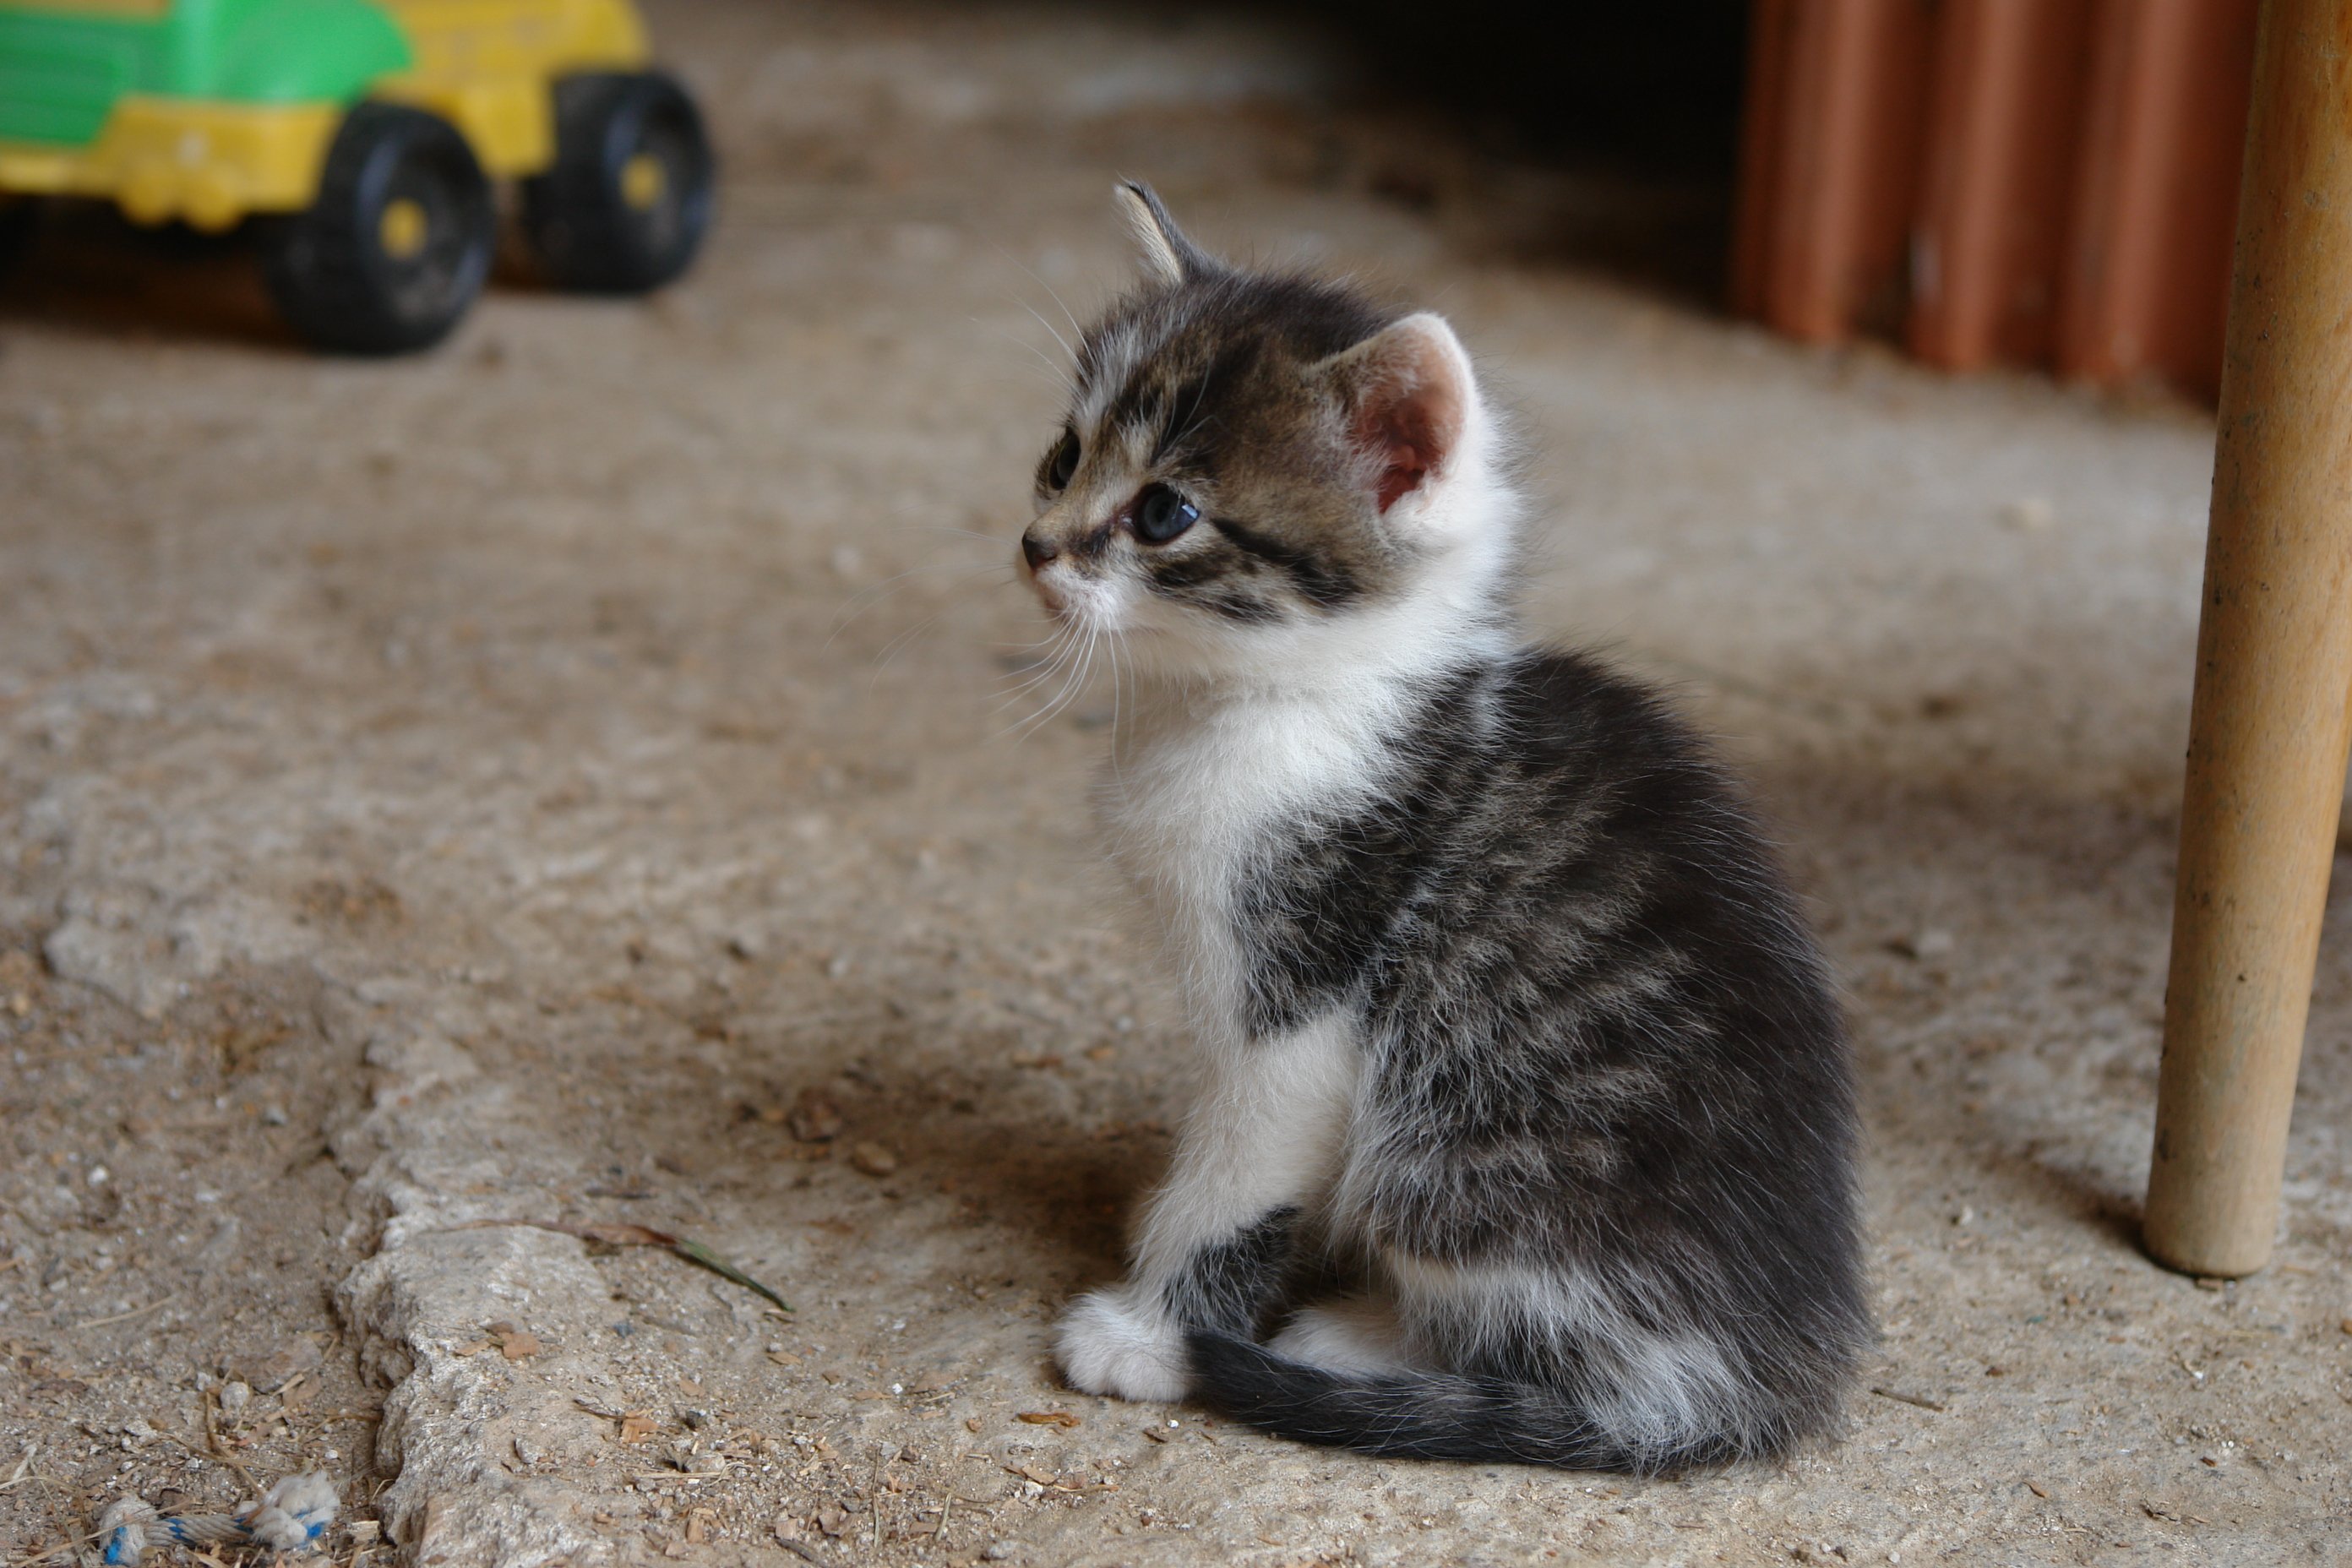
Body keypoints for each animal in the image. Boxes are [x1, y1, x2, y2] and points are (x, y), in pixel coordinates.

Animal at [1020, 182, 1869, 1473]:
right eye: (1064, 458)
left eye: (1165, 512)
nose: (1037, 544)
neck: (1288, 694)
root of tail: (1774, 1370)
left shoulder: (1303, 999)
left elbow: (1239, 1175)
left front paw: (1152, 1333)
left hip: (1453, 1153)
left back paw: (1354, 1338)